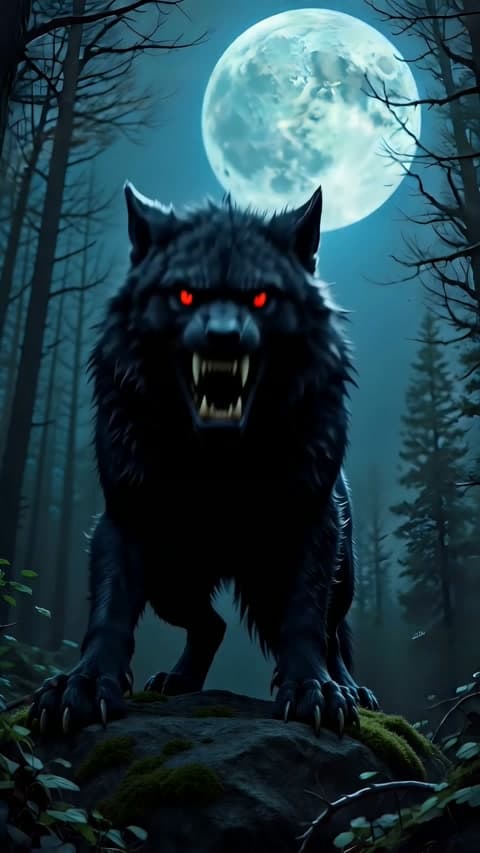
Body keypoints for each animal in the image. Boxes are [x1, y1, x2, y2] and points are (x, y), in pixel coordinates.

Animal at [29, 182, 378, 735]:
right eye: (186, 295)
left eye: (261, 297)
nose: (223, 338)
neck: (219, 464)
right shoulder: (126, 519)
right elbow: (107, 616)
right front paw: (80, 686)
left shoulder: (310, 524)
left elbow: (305, 618)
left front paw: (314, 690)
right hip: (172, 576)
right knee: (210, 623)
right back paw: (178, 681)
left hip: (335, 569)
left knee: (332, 630)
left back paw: (350, 687)